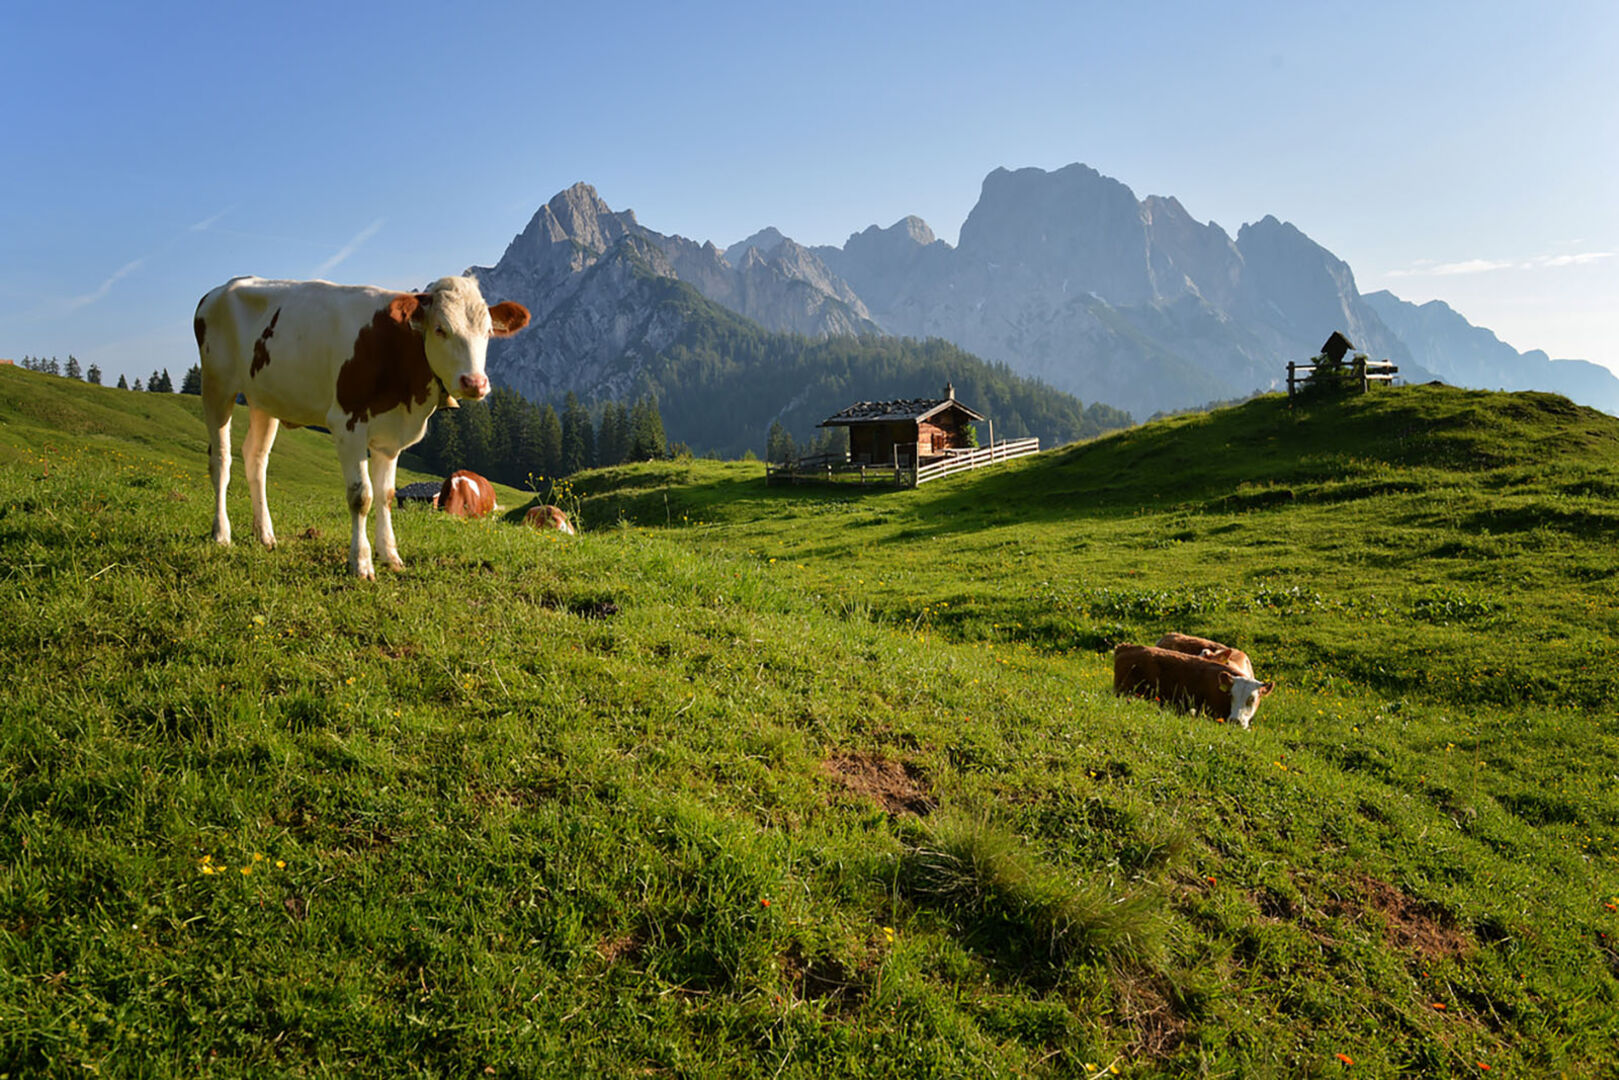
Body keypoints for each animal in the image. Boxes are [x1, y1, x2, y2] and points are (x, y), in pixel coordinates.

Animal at [194, 275, 530, 578]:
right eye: (440, 329)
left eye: (488, 332)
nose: (475, 383)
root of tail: (218, 289)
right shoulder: (347, 424)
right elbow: (361, 496)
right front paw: (361, 562)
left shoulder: (390, 438)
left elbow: (386, 495)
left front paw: (390, 556)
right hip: (217, 386)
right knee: (220, 460)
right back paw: (221, 534)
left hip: (265, 400)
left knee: (256, 459)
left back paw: (264, 535)